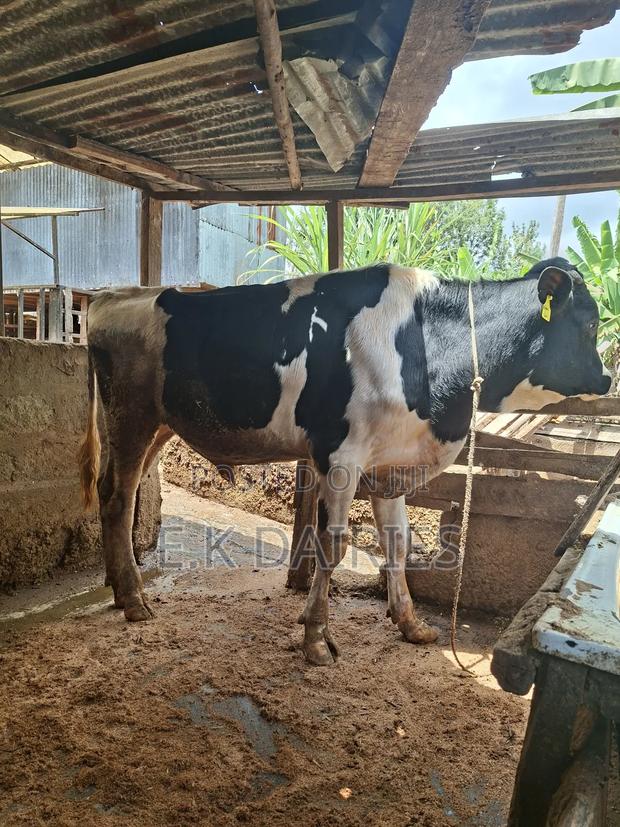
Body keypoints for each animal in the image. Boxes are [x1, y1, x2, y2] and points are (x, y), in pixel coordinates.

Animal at [79, 257, 610, 665]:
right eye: (590, 323)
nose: (607, 379)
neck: (424, 344)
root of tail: (111, 297)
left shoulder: (389, 465)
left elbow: (397, 544)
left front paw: (411, 624)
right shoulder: (340, 458)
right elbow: (332, 546)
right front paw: (316, 637)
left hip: (158, 425)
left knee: (112, 493)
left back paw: (117, 585)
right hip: (130, 417)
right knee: (120, 499)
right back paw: (134, 599)